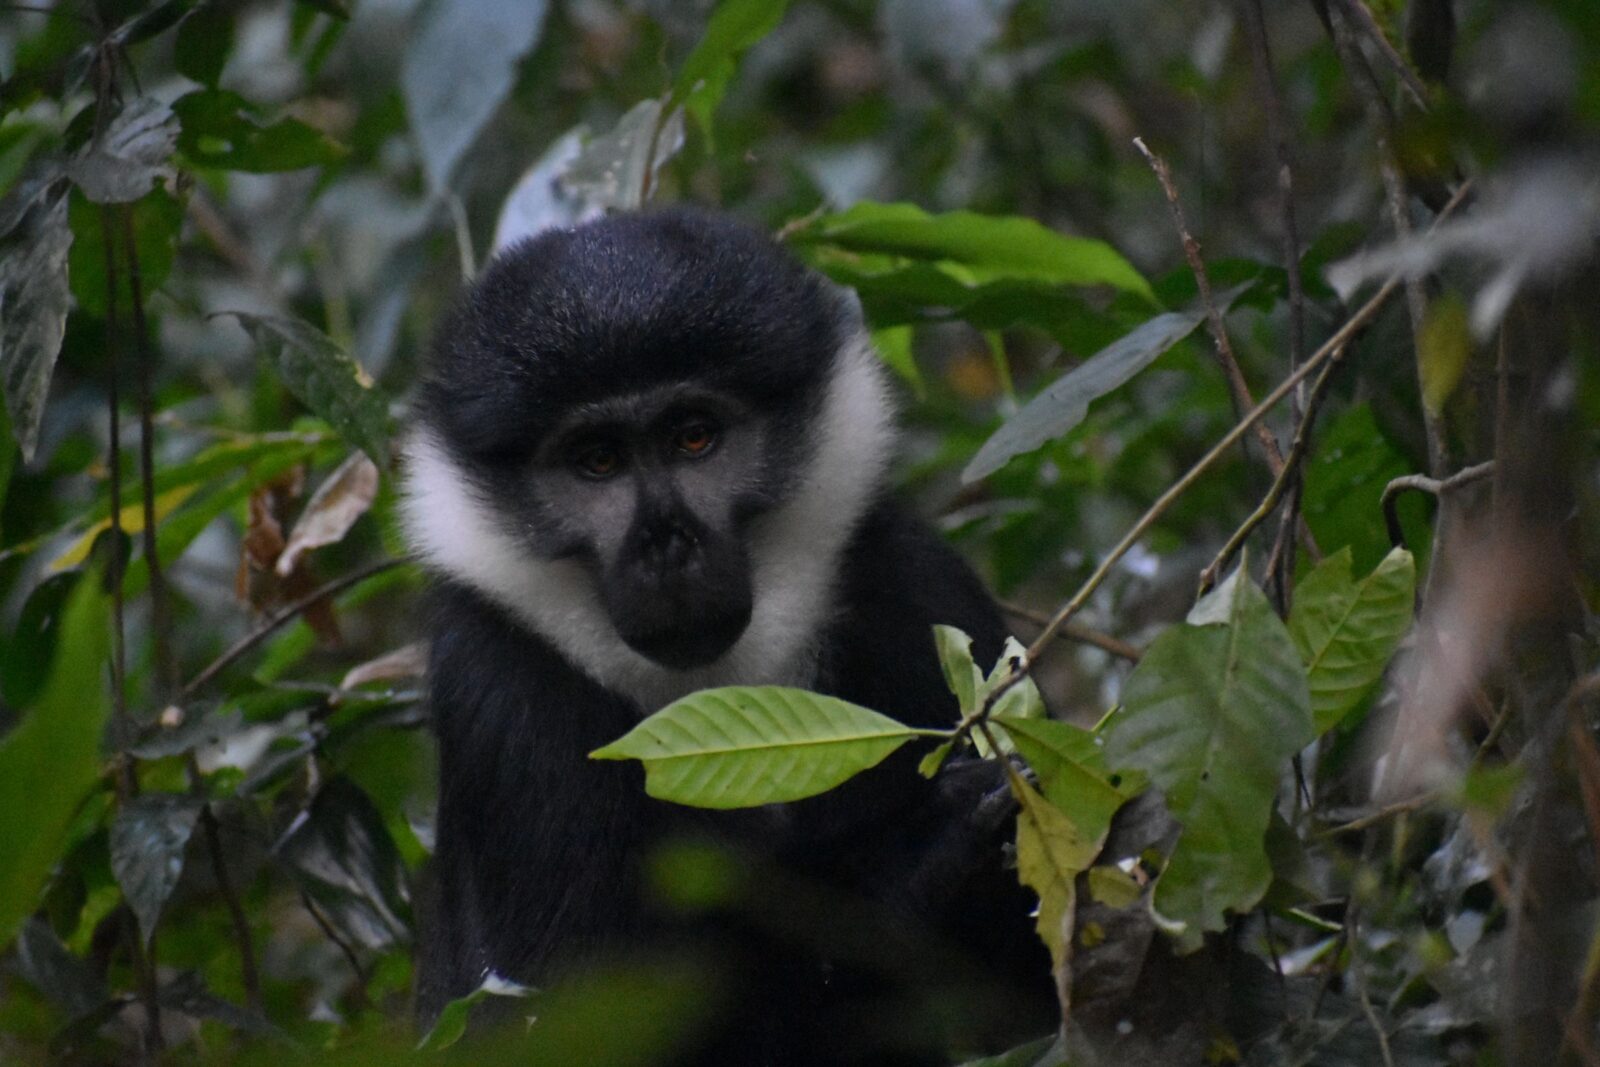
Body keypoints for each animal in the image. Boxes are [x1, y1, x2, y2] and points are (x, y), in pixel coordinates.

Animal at [401, 208, 1053, 1065]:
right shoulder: (500, 690)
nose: (664, 540)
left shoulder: (910, 582)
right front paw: (917, 844)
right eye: (597, 460)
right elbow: (575, 1022)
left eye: (694, 437)